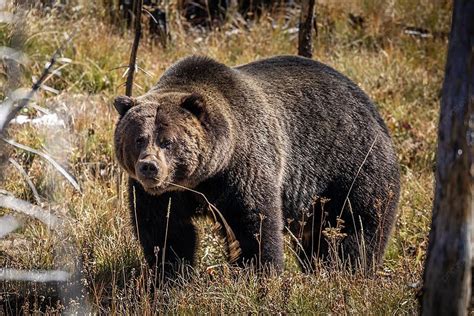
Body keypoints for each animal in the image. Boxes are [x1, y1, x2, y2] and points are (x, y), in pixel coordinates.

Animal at [114, 55, 400, 276]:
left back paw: (348, 269)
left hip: (351, 163)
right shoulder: (160, 194)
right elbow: (165, 231)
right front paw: (169, 274)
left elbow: (255, 225)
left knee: (358, 225)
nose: (149, 167)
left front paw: (258, 274)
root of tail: (370, 105)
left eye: (167, 141)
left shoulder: (243, 169)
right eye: (139, 139)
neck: (203, 179)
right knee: (317, 239)